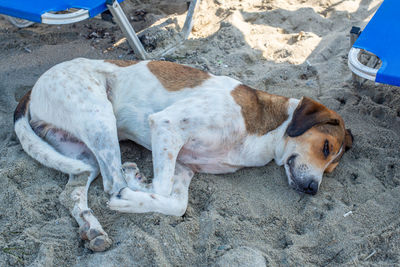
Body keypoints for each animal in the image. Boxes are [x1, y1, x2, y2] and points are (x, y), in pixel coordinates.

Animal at [14, 58, 354, 251]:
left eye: (331, 170)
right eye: (325, 147)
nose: (313, 190)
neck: (267, 125)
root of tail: (32, 86)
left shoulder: (185, 167)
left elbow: (176, 205)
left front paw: (141, 194)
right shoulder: (166, 124)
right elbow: (158, 188)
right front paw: (135, 186)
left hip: (81, 156)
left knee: (73, 191)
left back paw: (93, 229)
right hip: (99, 116)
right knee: (110, 182)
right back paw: (122, 189)